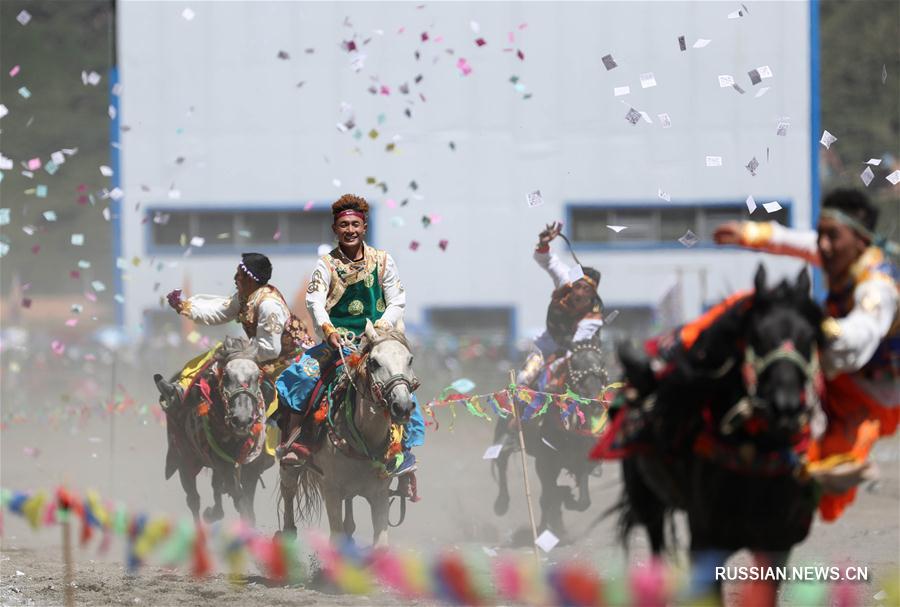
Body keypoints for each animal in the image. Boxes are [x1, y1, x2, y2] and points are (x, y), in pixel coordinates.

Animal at [280, 320, 420, 548]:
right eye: (374, 362)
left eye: (410, 359)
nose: (403, 406)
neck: (367, 441)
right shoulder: (331, 489)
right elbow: (335, 539)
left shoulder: (380, 494)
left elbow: (380, 544)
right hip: (289, 461)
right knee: (288, 488)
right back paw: (287, 533)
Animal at [492, 334, 612, 544]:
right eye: (575, 364)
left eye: (602, 362)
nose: (596, 401)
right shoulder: (545, 461)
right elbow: (547, 496)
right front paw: (545, 529)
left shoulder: (581, 460)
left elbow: (583, 501)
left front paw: (566, 504)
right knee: (502, 460)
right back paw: (502, 504)